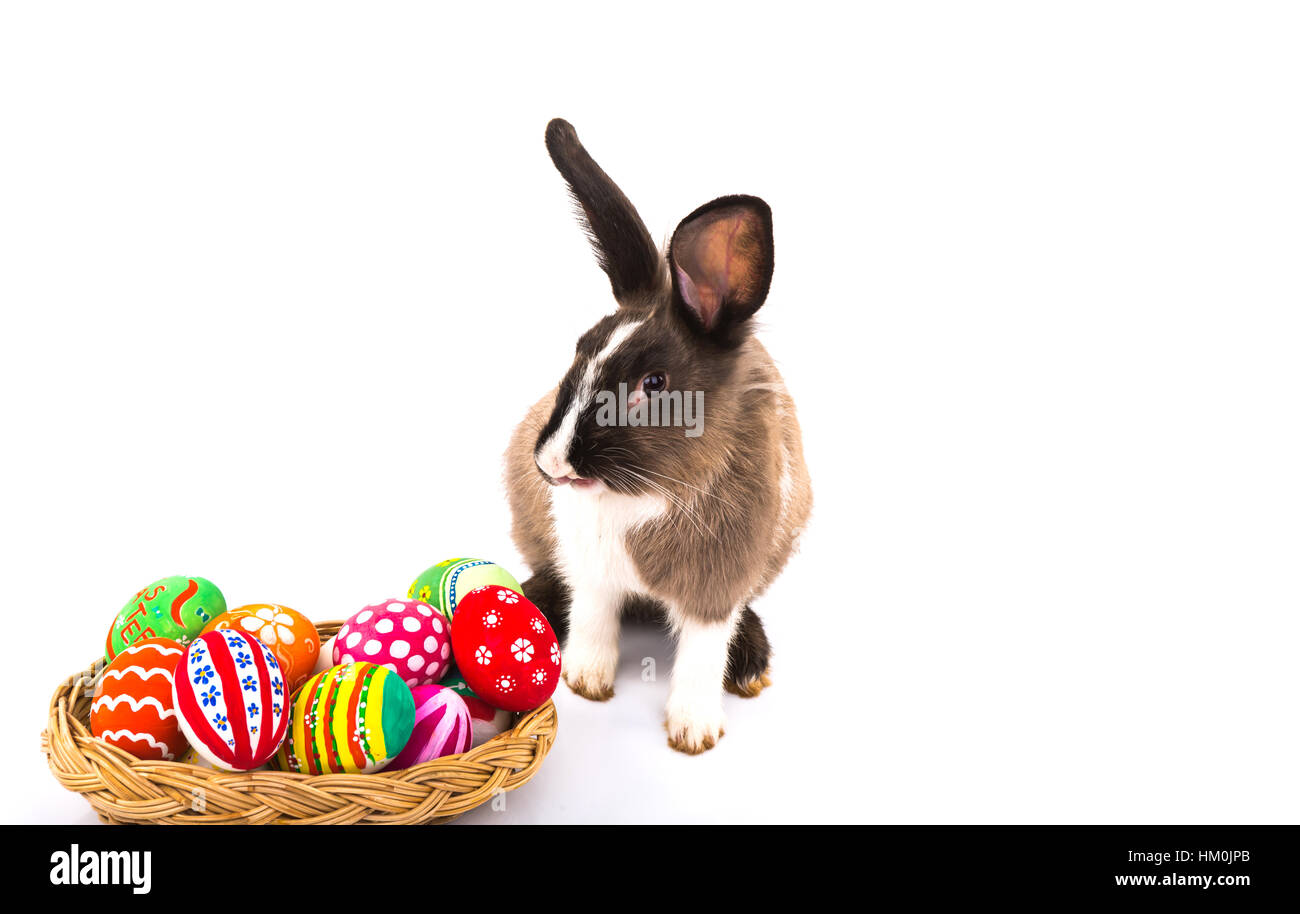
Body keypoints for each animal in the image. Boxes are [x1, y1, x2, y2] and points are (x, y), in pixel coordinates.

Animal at [504, 119, 812, 754]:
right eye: (579, 350)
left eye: (654, 383)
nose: (551, 464)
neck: (645, 492)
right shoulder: (588, 562)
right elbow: (594, 615)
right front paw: (585, 681)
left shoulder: (718, 585)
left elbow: (701, 652)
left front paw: (694, 734)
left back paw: (751, 664)